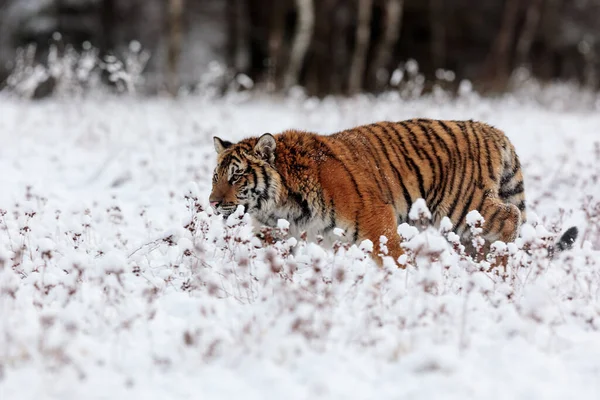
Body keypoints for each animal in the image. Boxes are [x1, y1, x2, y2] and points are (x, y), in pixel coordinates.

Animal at [209, 119, 580, 266]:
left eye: (237, 176)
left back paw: (495, 269)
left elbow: (392, 254)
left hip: (461, 206)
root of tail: (493, 130)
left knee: (510, 217)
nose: (212, 203)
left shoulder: (374, 215)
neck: (283, 204)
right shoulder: (276, 232)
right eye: (215, 177)